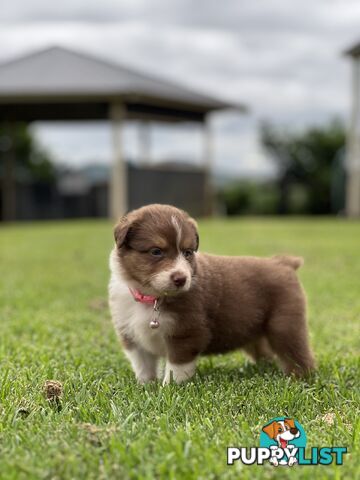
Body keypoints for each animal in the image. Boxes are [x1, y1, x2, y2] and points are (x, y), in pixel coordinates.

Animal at [109, 204, 316, 384]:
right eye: (156, 251)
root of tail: (283, 263)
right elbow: (143, 365)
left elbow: (176, 367)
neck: (151, 298)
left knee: (298, 354)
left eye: (187, 252)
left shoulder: (187, 332)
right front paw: (145, 386)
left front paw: (170, 388)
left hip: (285, 325)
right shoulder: (130, 334)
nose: (181, 279)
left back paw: (299, 378)